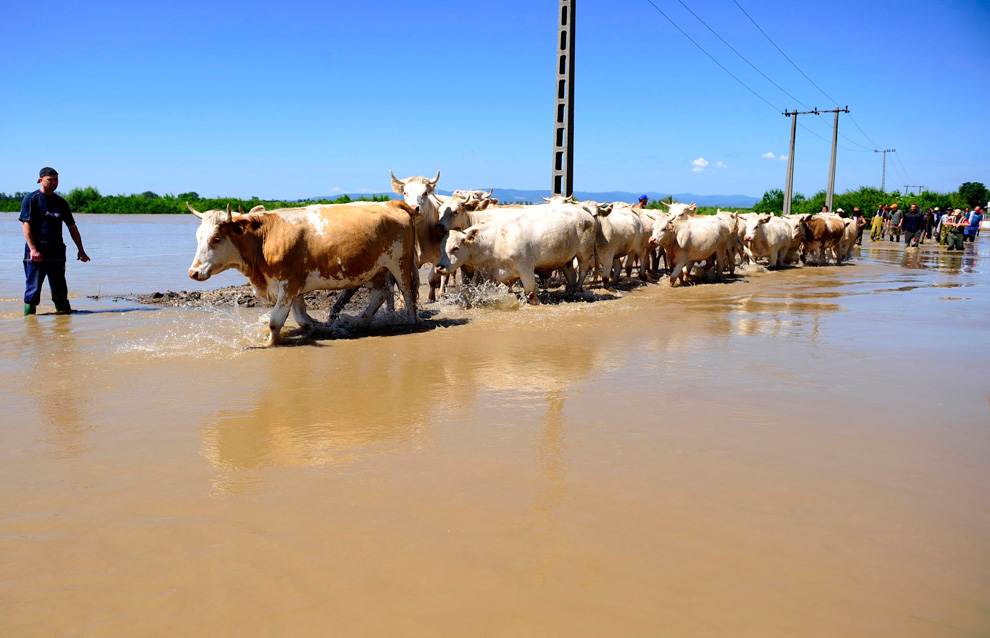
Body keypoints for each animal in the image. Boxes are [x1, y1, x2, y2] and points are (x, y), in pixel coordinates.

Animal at [188, 202, 420, 348]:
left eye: (216, 238)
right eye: (198, 237)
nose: (193, 272)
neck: (265, 238)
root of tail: (391, 203)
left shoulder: (288, 285)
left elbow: (275, 320)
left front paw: (269, 343)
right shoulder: (294, 288)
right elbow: (302, 319)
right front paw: (322, 327)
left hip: (400, 264)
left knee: (408, 294)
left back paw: (411, 322)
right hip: (372, 270)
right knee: (381, 293)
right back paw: (359, 321)